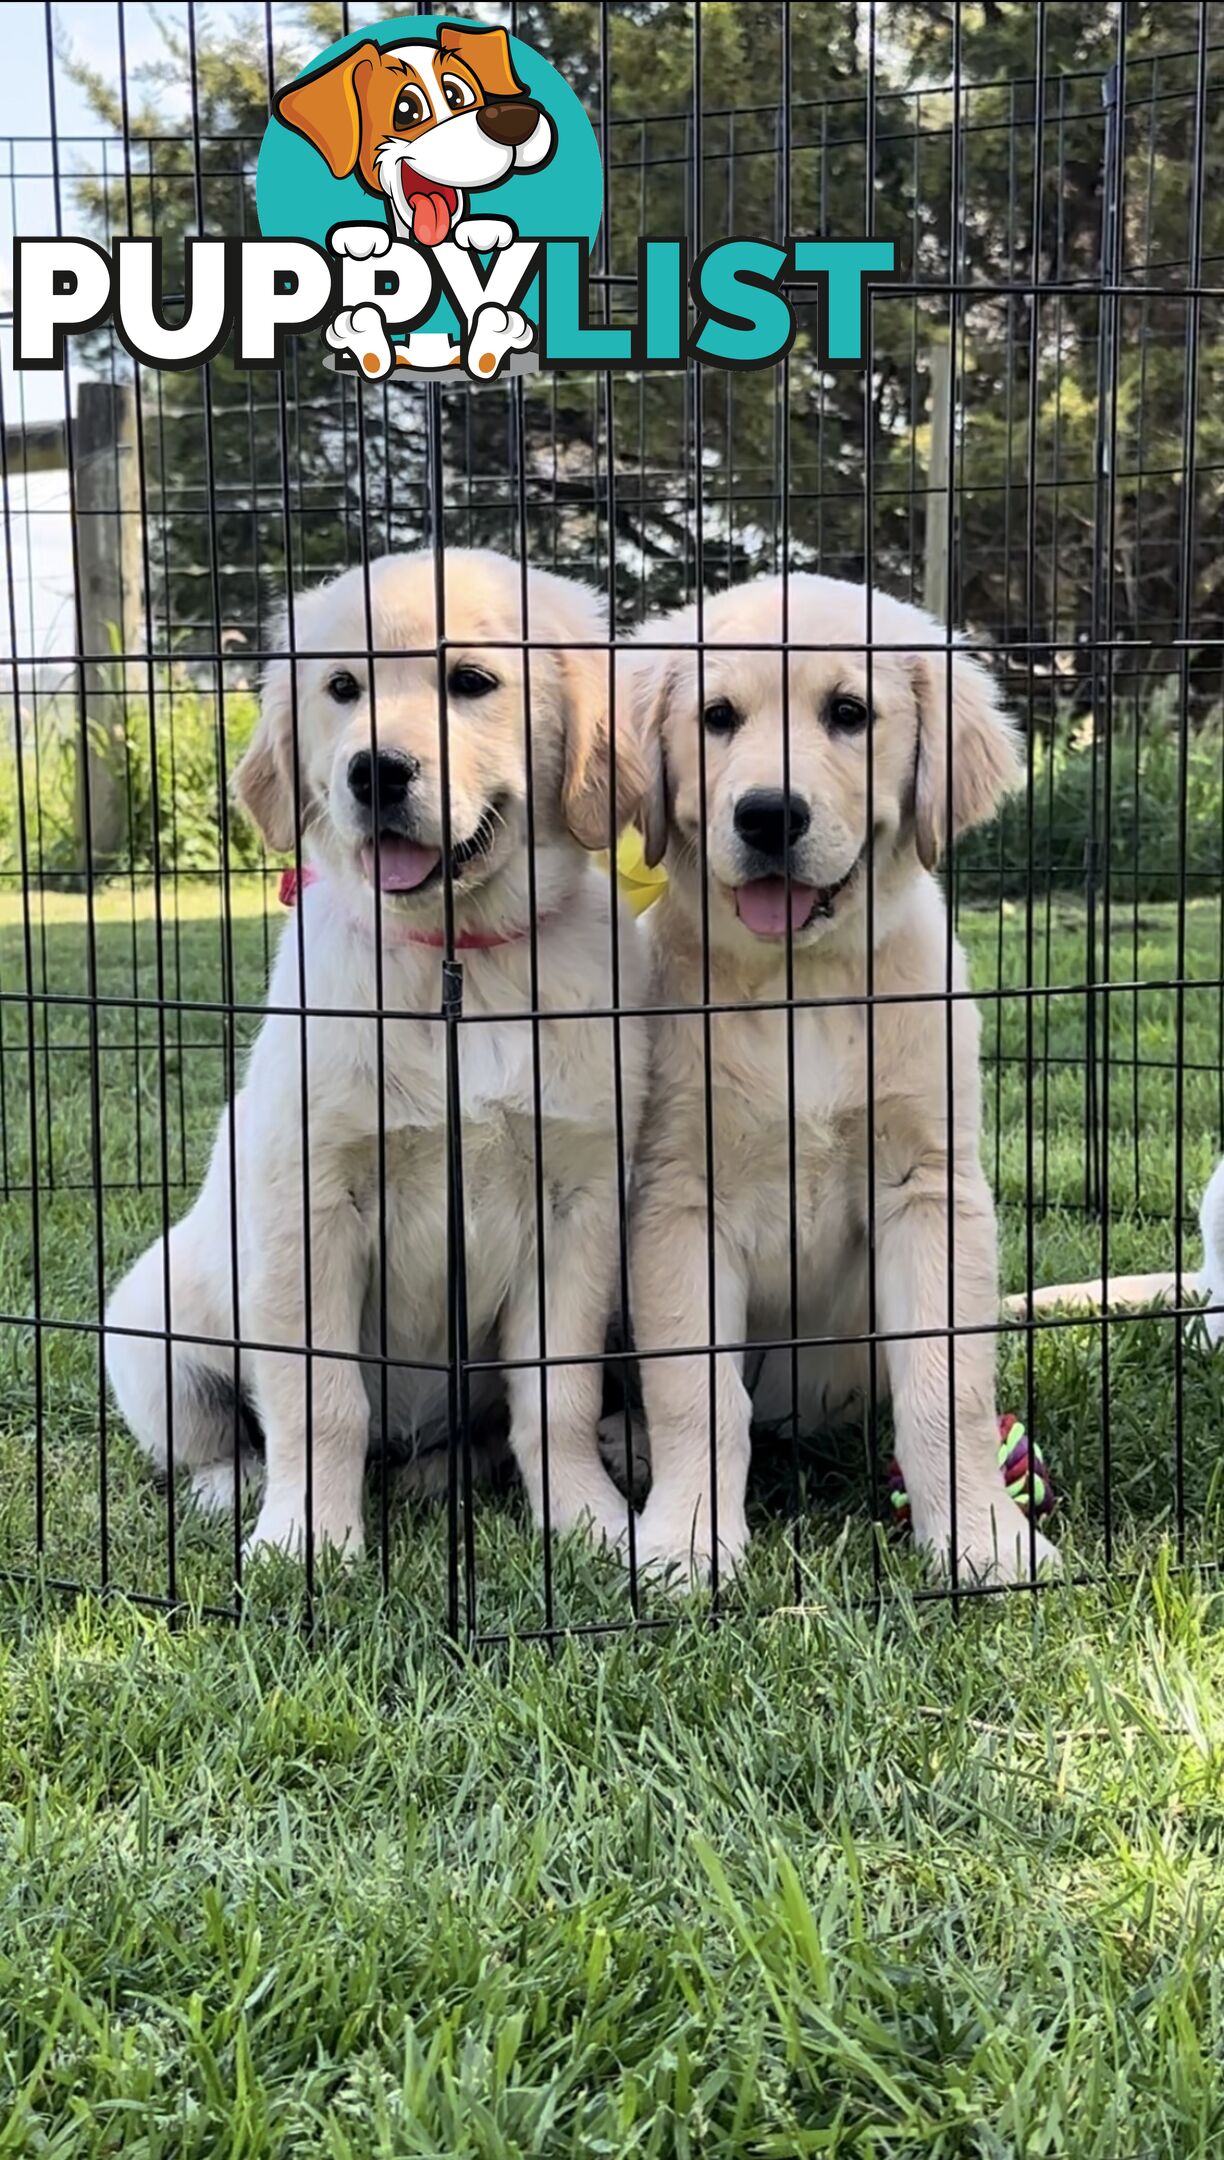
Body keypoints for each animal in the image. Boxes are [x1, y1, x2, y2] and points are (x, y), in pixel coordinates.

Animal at [626, 574, 1057, 1589]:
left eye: (849, 713)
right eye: (717, 717)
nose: (767, 815)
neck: (804, 986)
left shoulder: (930, 1189)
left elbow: (949, 1387)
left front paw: (983, 1536)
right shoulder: (678, 1196)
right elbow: (695, 1390)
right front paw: (687, 1541)